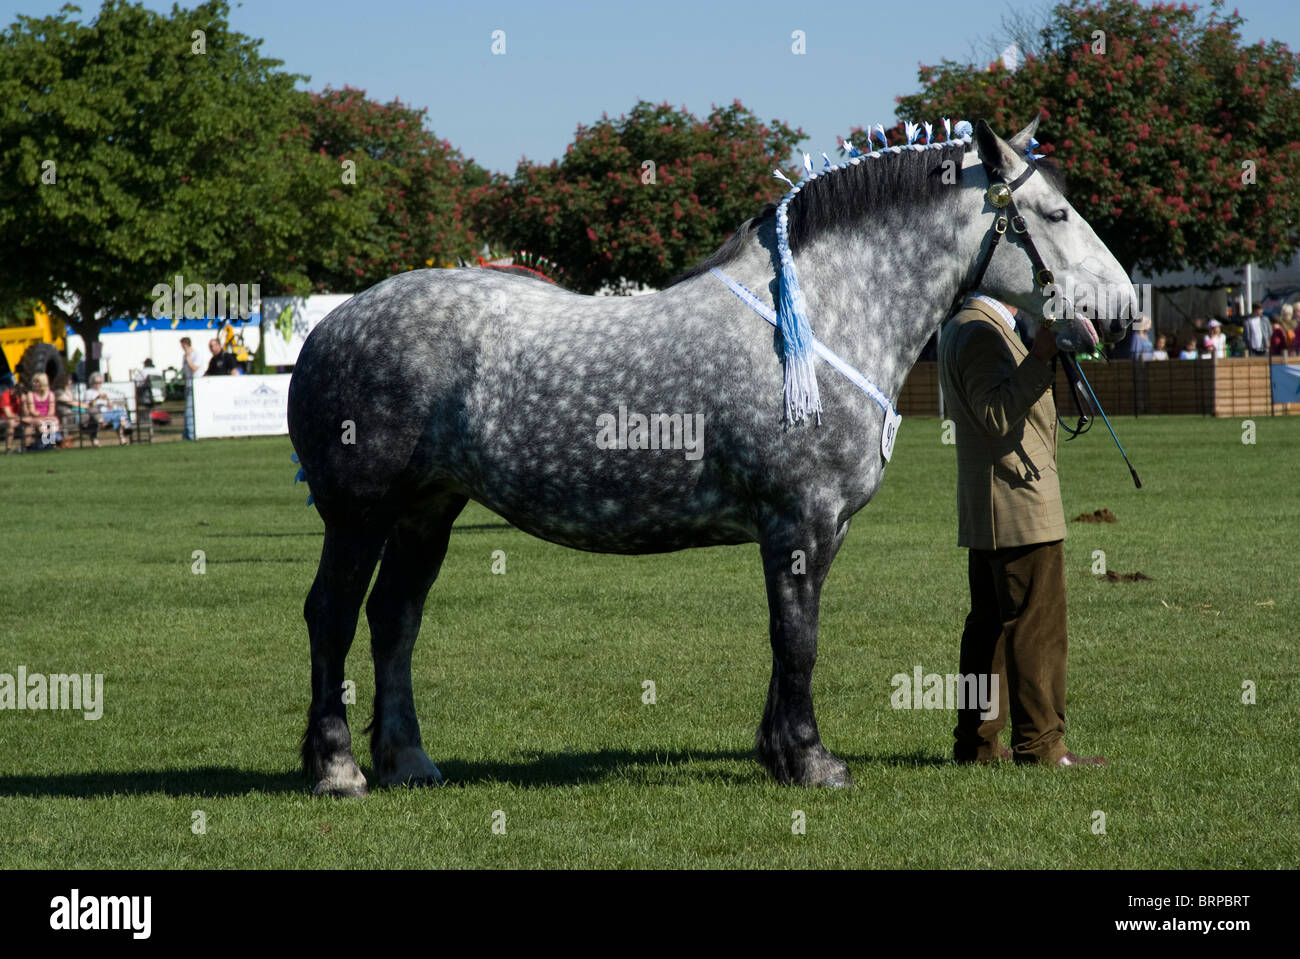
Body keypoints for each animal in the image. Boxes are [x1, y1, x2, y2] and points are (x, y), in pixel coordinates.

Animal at [289, 117, 1133, 790]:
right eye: (1054, 212)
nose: (1123, 308)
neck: (817, 320)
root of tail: (330, 326)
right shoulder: (799, 518)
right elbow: (798, 637)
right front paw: (812, 761)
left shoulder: (819, 528)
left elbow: (792, 633)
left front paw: (778, 752)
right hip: (359, 516)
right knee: (331, 616)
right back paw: (339, 769)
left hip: (426, 511)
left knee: (394, 618)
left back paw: (409, 760)